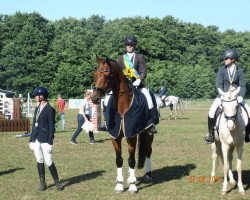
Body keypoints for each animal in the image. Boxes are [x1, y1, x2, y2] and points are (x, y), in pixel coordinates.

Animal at [91, 56, 154, 194]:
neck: (122, 106)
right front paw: (119, 185)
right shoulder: (115, 137)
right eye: (95, 74)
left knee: (148, 151)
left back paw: (148, 175)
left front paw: (133, 187)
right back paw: (131, 177)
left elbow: (131, 160)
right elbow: (119, 160)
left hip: (148, 134)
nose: (94, 98)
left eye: (107, 74)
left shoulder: (132, 135)